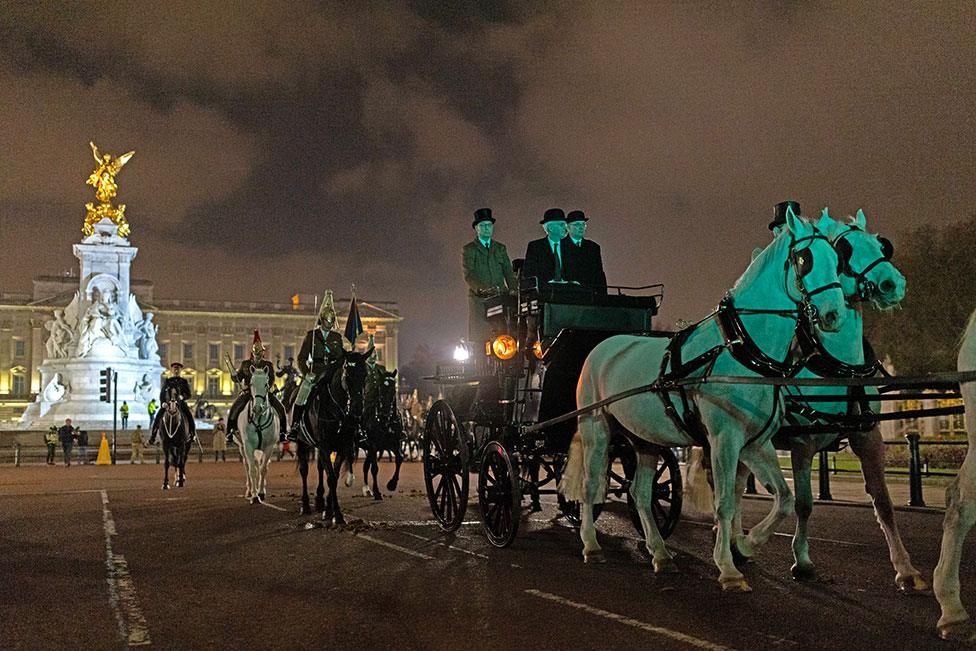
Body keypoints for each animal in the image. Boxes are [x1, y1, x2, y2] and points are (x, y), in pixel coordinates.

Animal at [236, 366, 278, 504]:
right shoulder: (248, 446)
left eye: (266, 384)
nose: (257, 408)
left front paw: (261, 492)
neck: (259, 419)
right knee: (247, 466)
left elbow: (264, 468)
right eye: (251, 384)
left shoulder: (269, 447)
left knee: (261, 464)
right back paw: (249, 490)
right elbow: (252, 470)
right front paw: (254, 496)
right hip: (242, 447)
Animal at [296, 346, 372, 524]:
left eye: (365, 375)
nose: (357, 409)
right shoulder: (324, 446)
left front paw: (330, 510)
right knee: (304, 471)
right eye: (347, 375)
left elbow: (334, 476)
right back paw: (305, 505)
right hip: (302, 443)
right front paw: (336, 514)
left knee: (320, 468)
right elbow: (330, 477)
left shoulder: (342, 446)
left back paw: (319, 501)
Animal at [360, 370, 402, 502]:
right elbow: (375, 469)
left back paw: (367, 489)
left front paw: (392, 484)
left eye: (393, 390)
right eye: (380, 389)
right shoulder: (373, 445)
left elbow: (400, 458)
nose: (384, 416)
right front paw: (377, 492)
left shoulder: (395, 443)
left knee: (365, 466)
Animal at [560, 208, 852, 592]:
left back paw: (660, 552)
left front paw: (746, 543)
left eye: (837, 259)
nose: (835, 316)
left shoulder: (755, 443)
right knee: (592, 486)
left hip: (644, 440)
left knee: (640, 494)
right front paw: (728, 567)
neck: (741, 352)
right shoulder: (724, 439)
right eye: (804, 259)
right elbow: (725, 502)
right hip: (596, 429)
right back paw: (591, 545)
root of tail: (602, 346)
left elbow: (785, 499)